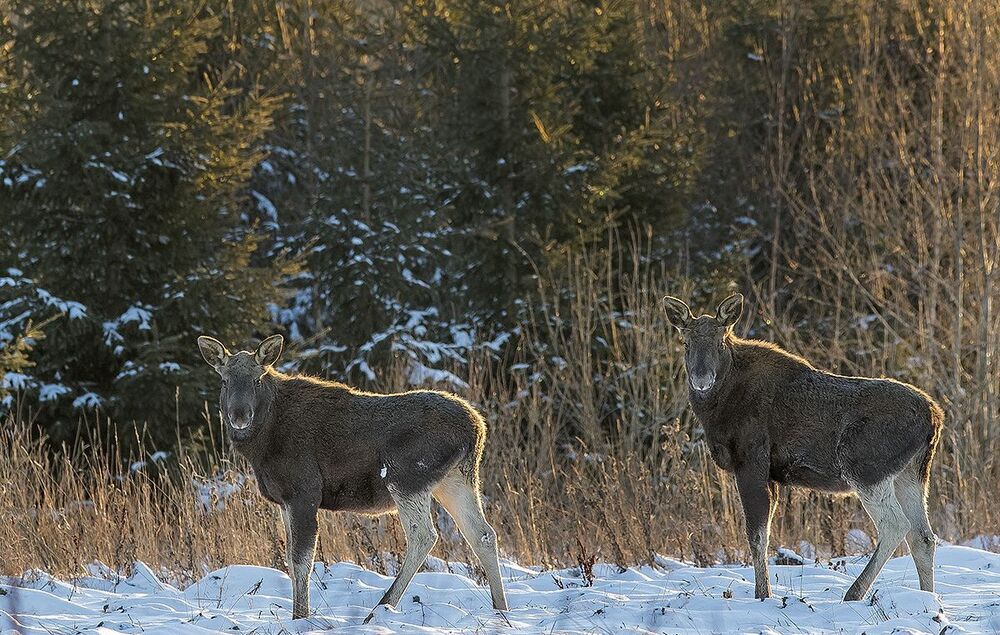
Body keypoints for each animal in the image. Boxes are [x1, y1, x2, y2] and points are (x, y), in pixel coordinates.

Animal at [197, 334, 509, 622]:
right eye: (224, 381)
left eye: (257, 380)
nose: (239, 416)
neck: (262, 445)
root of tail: (477, 427)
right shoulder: (284, 500)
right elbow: (289, 561)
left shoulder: (304, 492)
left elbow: (301, 561)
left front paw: (301, 617)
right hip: (456, 479)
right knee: (482, 534)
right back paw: (501, 609)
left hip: (406, 476)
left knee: (424, 535)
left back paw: (381, 607)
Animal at [662, 293, 942, 602]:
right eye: (686, 342)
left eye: (720, 342)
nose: (701, 380)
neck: (717, 410)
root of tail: (935, 416)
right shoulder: (771, 475)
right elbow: (765, 534)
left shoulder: (751, 460)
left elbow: (756, 535)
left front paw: (763, 594)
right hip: (911, 474)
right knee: (923, 536)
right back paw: (928, 599)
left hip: (864, 465)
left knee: (895, 525)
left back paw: (854, 593)